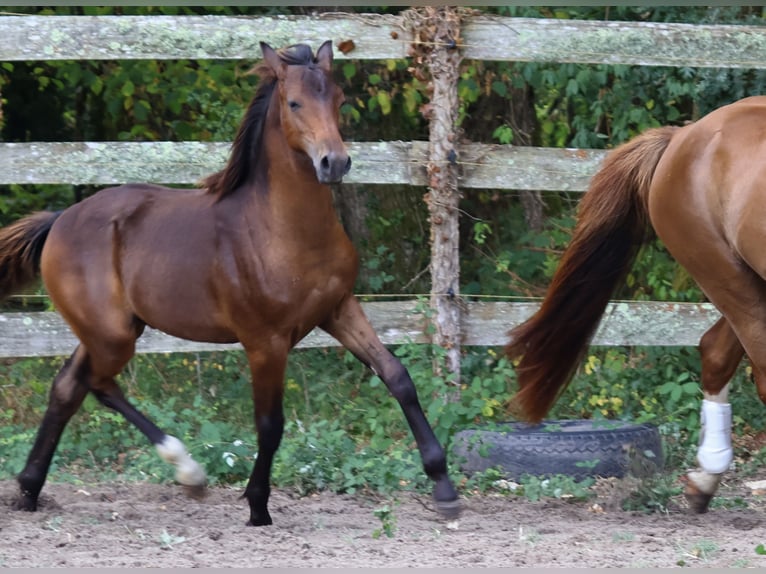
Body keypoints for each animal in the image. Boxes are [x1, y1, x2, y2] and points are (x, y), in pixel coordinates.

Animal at [0, 41, 460, 526]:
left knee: (68, 386)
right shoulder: (264, 341)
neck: (284, 231)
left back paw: (29, 489)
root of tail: (59, 221)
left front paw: (444, 488)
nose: (333, 162)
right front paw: (258, 505)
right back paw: (187, 470)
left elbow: (397, 377)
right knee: (100, 384)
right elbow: (270, 425)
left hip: (110, 329)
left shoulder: (338, 309)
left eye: (338, 100)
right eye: (294, 103)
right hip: (112, 335)